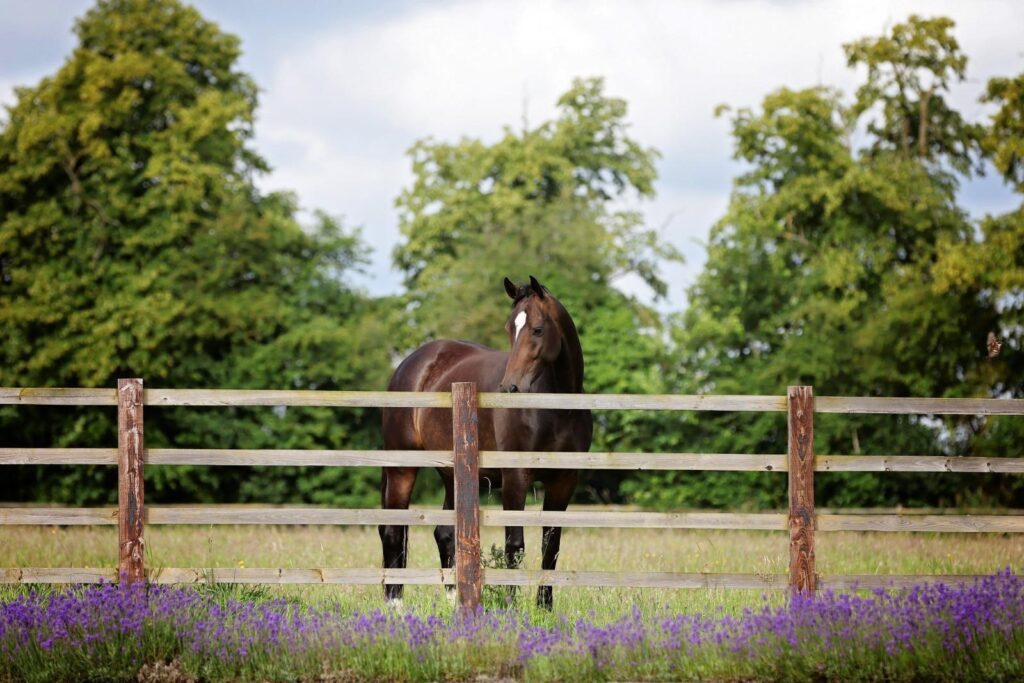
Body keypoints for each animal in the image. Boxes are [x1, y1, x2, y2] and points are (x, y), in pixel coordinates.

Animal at [382, 276, 593, 610]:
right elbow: (514, 545)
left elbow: (551, 545)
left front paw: (544, 607)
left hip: (453, 475)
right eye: (509, 328)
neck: (556, 408)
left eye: (537, 329)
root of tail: (410, 364)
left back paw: (454, 600)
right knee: (393, 532)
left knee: (444, 534)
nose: (510, 387)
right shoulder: (515, 478)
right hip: (401, 468)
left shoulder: (564, 480)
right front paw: (510, 605)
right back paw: (395, 605)